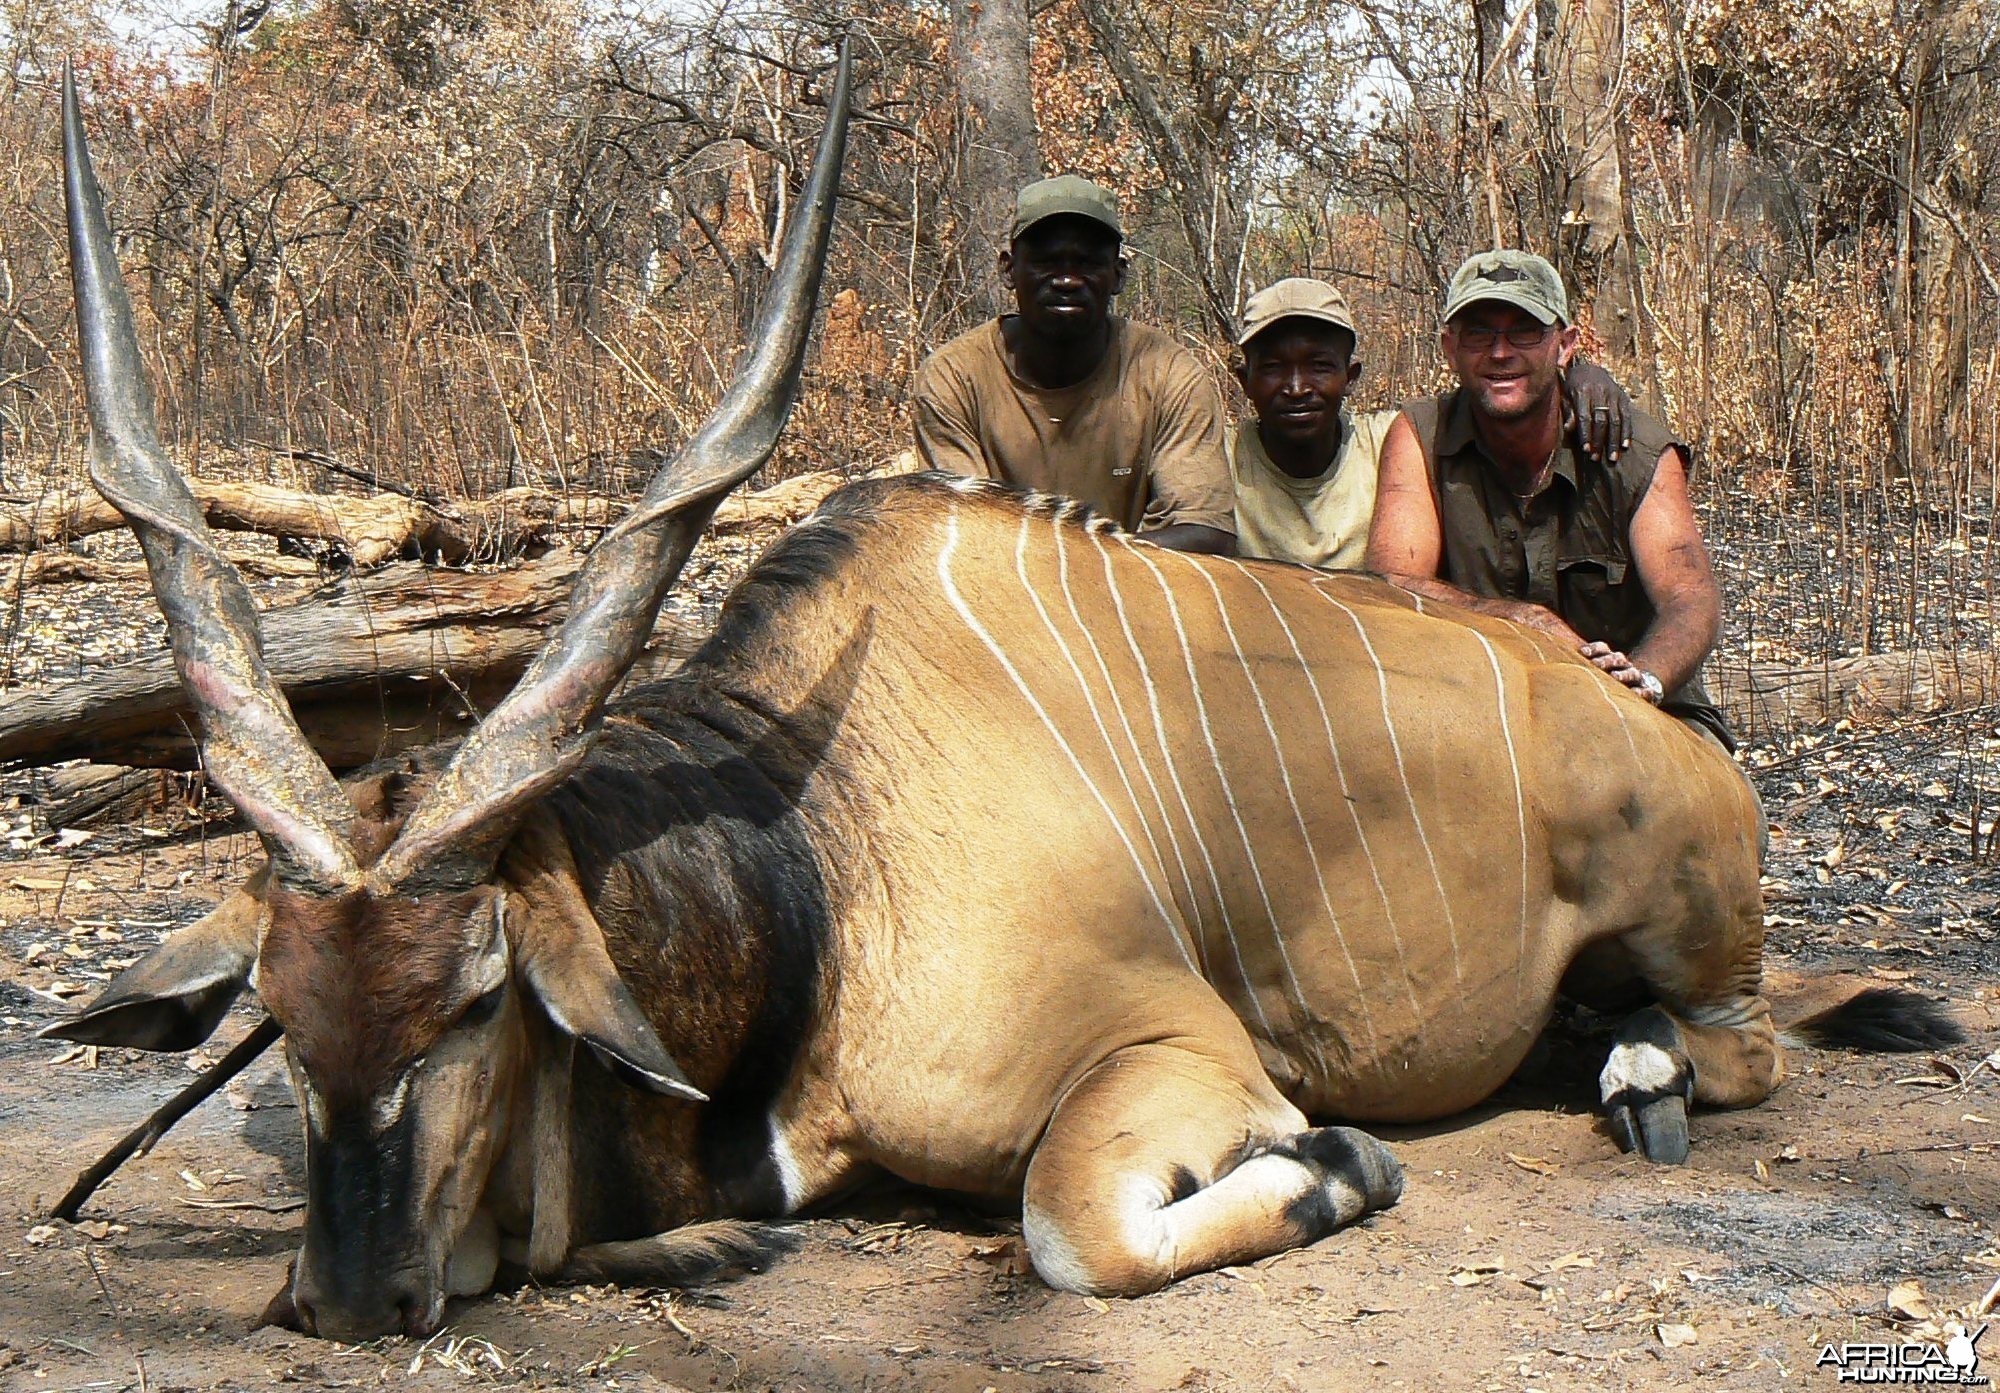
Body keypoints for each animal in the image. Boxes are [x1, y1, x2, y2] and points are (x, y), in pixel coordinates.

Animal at [39, 54, 1960, 1336]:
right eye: (283, 1017)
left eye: (476, 999)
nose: (348, 1299)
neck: (815, 864)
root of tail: (1653, 722)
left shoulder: (1171, 1052)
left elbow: (1068, 1227)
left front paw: (1346, 1167)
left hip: (1693, 929)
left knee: (1745, 1039)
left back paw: (1637, 1067)